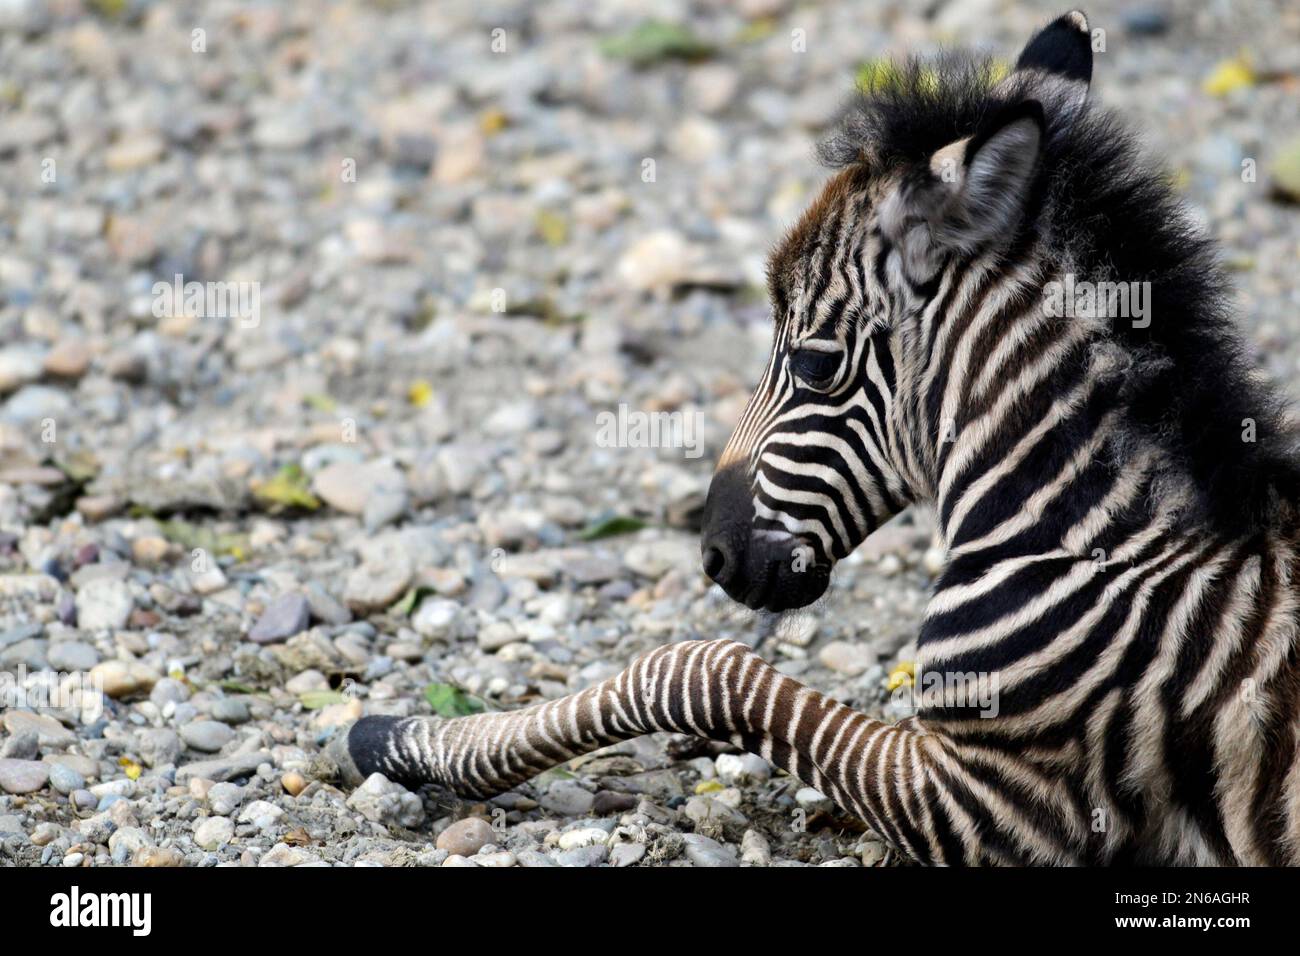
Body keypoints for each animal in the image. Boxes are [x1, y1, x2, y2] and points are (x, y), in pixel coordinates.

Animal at [328, 11, 1300, 866]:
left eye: (815, 362)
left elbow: (701, 668)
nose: (714, 554)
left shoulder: (1003, 805)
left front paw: (416, 738)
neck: (1094, 541)